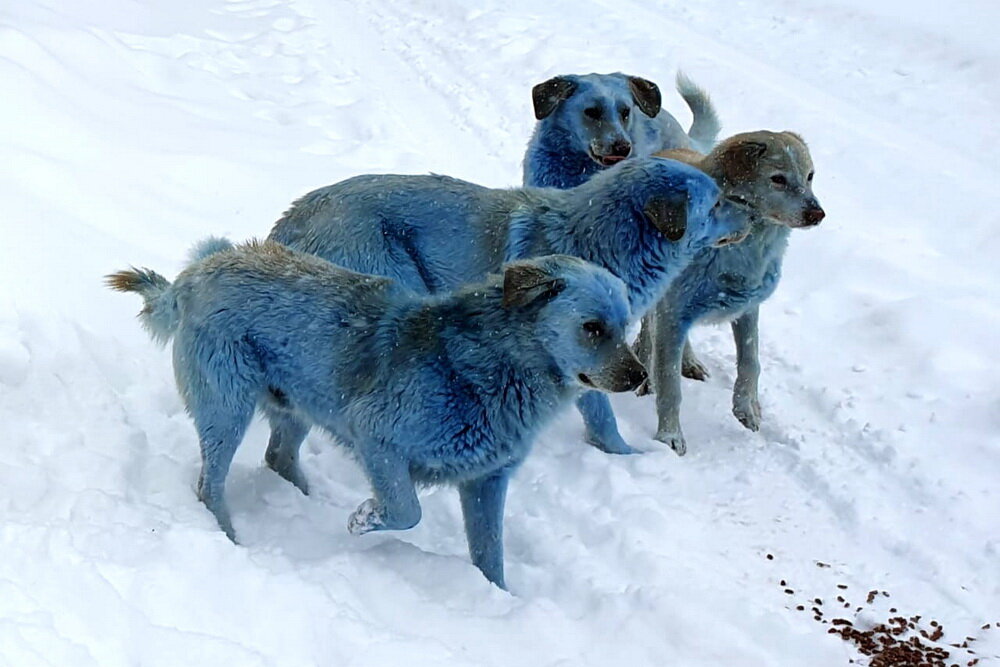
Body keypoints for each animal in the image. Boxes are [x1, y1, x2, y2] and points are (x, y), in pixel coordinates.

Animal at [105, 243, 644, 588]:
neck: (492, 365)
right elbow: (408, 511)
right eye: (592, 328)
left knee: (279, 456)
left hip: (297, 402)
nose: (640, 377)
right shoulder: (376, 437)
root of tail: (193, 275)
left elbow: (490, 557)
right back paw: (230, 540)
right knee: (209, 485)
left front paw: (495, 600)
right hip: (227, 407)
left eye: (626, 327)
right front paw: (364, 519)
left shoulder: (487, 481)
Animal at [270, 159, 752, 456]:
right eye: (715, 203)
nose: (752, 216)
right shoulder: (582, 354)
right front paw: (630, 456)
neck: (601, 241)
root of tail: (290, 219)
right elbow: (603, 417)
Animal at [640, 129, 828, 454]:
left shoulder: (747, 309)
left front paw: (747, 408)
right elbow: (669, 382)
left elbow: (751, 363)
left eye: (810, 176)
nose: (817, 213)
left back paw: (688, 361)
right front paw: (669, 437)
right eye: (778, 179)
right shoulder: (672, 313)